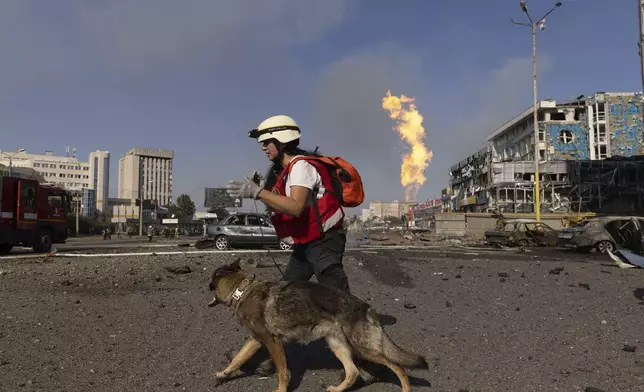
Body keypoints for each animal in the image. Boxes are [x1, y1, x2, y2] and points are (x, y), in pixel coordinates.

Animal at [208, 258, 428, 390]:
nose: (207, 288)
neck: (242, 290)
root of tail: (366, 307)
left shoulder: (273, 341)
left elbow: (282, 372)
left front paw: (281, 389)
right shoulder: (256, 340)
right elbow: (237, 359)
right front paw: (223, 374)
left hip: (363, 348)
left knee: (398, 367)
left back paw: (404, 387)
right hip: (337, 344)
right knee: (353, 371)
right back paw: (338, 388)